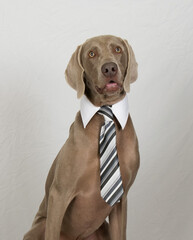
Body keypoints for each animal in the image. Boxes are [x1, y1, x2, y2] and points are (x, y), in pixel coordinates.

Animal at [23, 35, 139, 240]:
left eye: (117, 49)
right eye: (91, 53)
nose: (109, 68)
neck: (106, 110)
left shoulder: (120, 198)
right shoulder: (59, 194)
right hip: (38, 227)